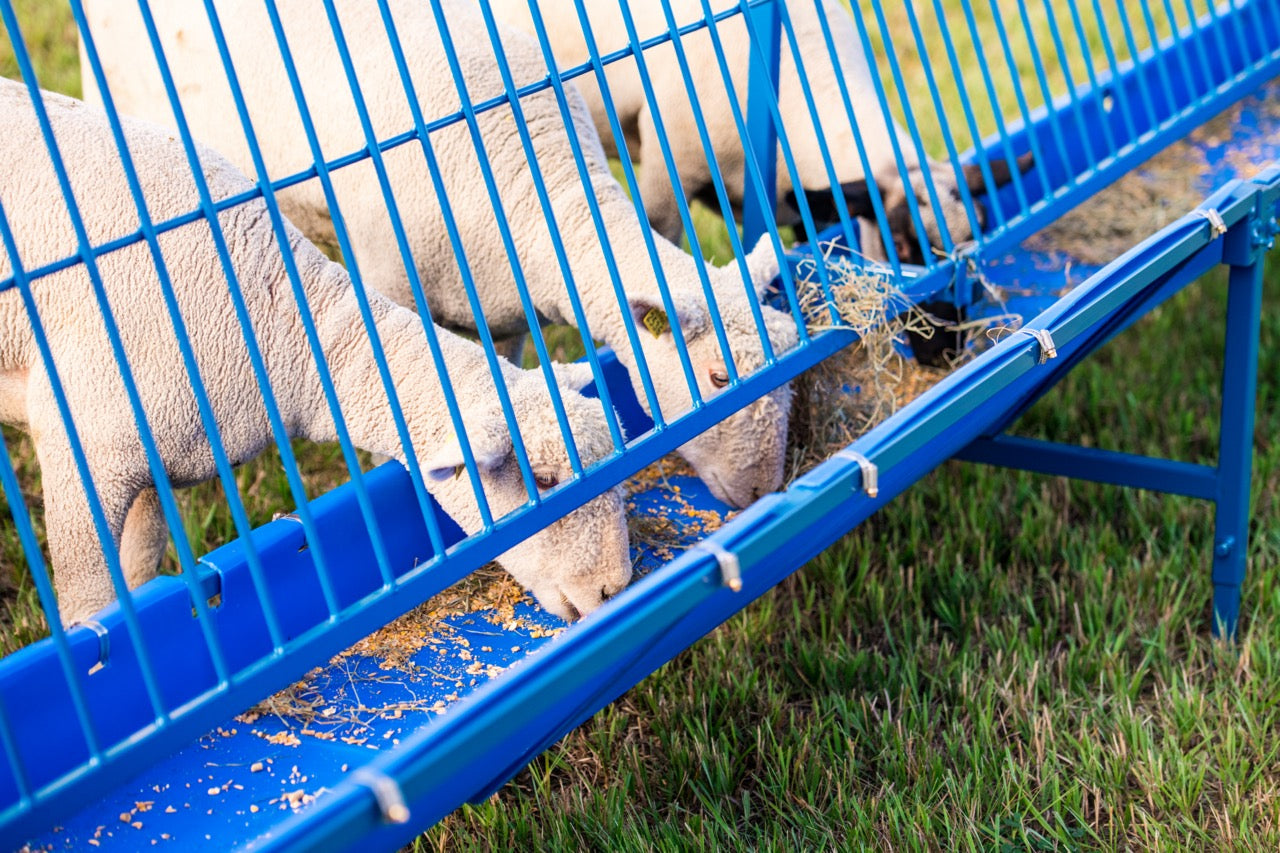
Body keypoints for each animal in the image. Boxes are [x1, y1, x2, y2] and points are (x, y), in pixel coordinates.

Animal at [0, 79, 630, 626]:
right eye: (542, 479)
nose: (613, 589)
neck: (282, 332)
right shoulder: (86, 449)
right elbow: (92, 603)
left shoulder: (156, 459)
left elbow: (139, 569)